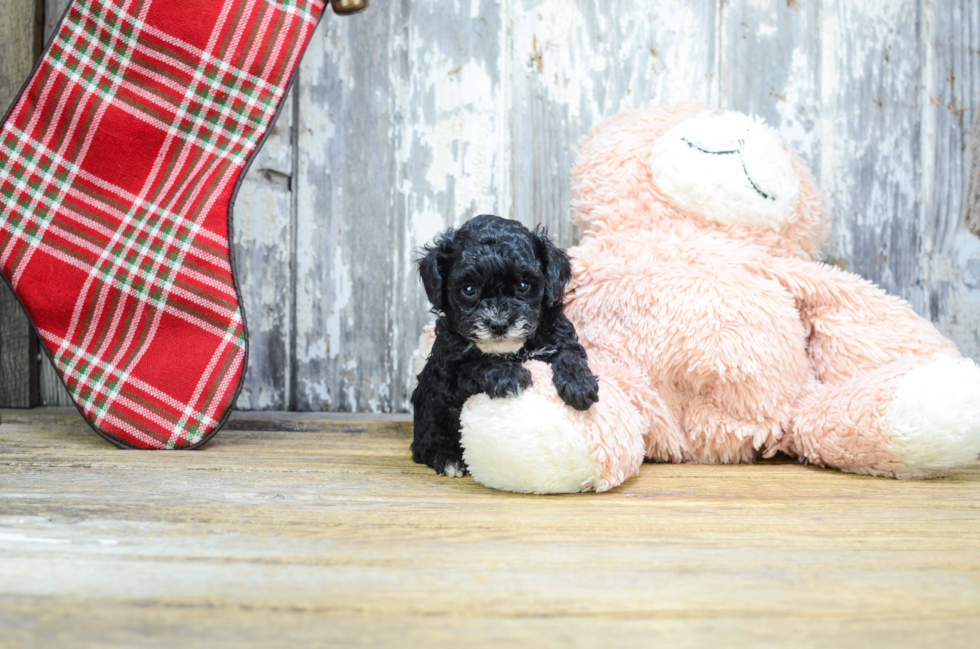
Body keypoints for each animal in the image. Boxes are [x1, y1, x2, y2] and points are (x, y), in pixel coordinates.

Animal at [408, 215, 596, 474]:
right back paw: (447, 458)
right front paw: (509, 375)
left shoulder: (560, 336)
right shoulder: (448, 368)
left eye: (523, 286)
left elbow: (570, 354)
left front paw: (580, 384)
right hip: (430, 406)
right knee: (425, 442)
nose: (498, 324)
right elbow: (475, 364)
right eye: (469, 290)